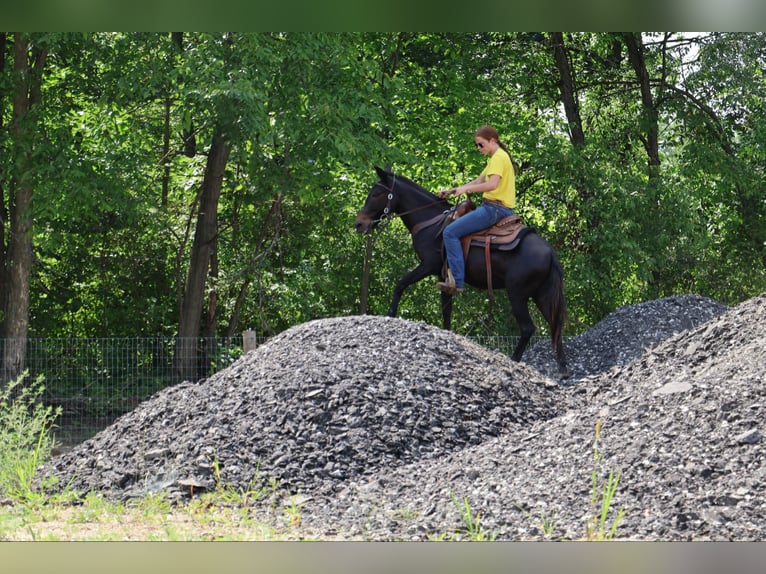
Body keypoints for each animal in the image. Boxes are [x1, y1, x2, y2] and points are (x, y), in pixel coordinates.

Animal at [356, 165, 568, 378]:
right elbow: (446, 310)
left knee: (527, 328)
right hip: (542, 295)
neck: (430, 221)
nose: (359, 223)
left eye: (376, 194)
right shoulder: (443, 275)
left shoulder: (428, 265)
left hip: (517, 294)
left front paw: (390, 315)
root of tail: (550, 252)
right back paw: (563, 370)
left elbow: (400, 284)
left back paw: (514, 361)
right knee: (556, 325)